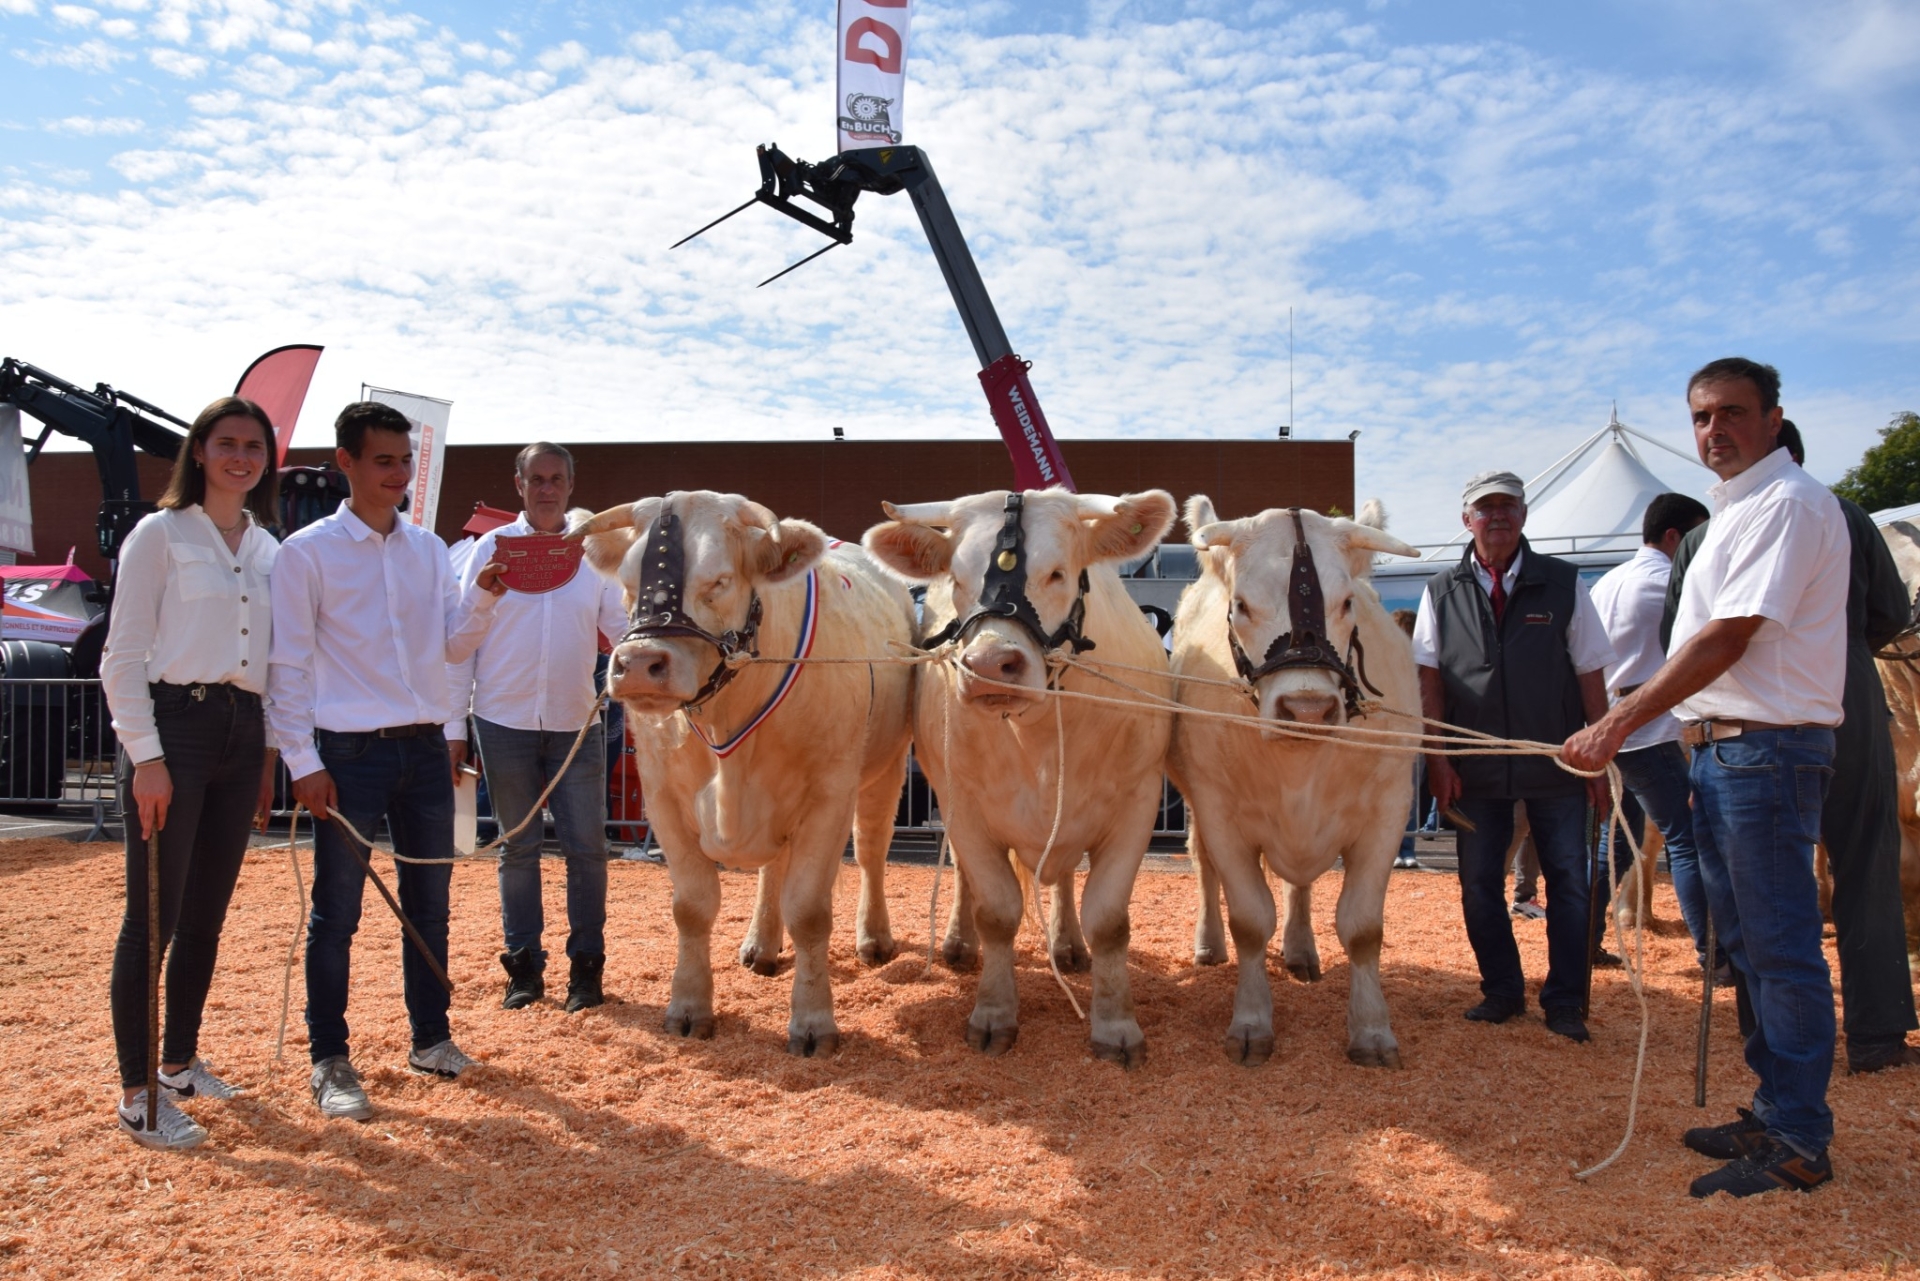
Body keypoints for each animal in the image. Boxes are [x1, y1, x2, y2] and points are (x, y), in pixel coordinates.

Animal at [568, 495, 913, 1060]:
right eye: (626, 580)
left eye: (720, 580)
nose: (638, 664)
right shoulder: (661, 798)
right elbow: (692, 906)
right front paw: (689, 1007)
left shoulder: (829, 795)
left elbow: (810, 911)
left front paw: (813, 1022)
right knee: (774, 868)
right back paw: (762, 944)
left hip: (887, 766)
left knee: (871, 851)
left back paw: (874, 938)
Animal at [867, 485, 1167, 1067]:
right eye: (957, 580)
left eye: (1059, 573)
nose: (988, 666)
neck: (1036, 736)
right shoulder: (964, 805)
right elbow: (998, 911)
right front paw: (993, 1014)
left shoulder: (1137, 805)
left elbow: (1108, 920)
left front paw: (1116, 1025)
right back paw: (960, 943)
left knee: (1065, 877)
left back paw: (1067, 945)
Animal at [1167, 495, 1428, 1067]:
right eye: (1241, 606)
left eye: (1347, 603)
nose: (1307, 709)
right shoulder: (1219, 810)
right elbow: (1249, 920)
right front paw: (1251, 1020)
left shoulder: (1389, 809)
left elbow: (1362, 927)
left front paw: (1372, 1028)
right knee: (1204, 865)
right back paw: (1208, 943)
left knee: (1299, 884)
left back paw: (1301, 948)